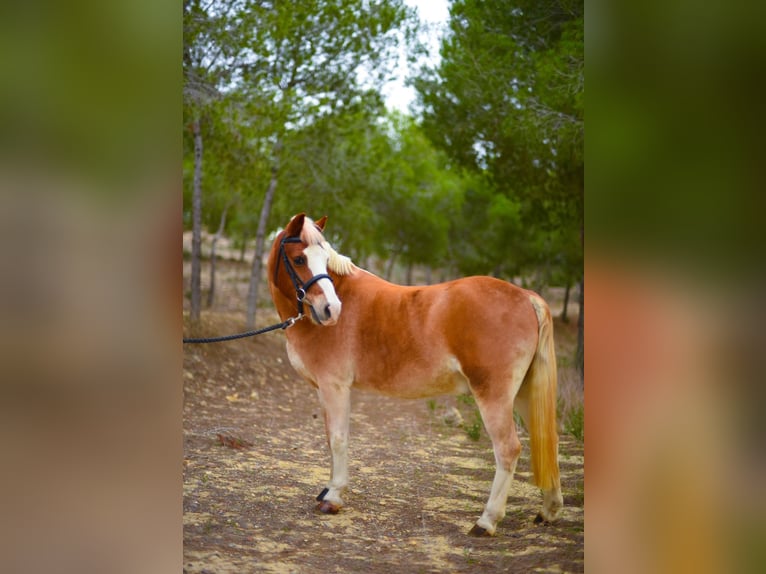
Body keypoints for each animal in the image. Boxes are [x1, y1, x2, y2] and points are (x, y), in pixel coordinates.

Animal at [268, 214, 564, 536]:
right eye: (299, 259)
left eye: (324, 258)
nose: (331, 309)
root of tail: (526, 296)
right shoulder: (323, 389)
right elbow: (329, 437)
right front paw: (327, 490)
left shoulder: (335, 387)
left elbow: (338, 438)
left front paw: (333, 497)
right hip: (523, 393)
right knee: (547, 438)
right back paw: (548, 511)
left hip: (493, 395)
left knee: (508, 449)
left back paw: (486, 521)